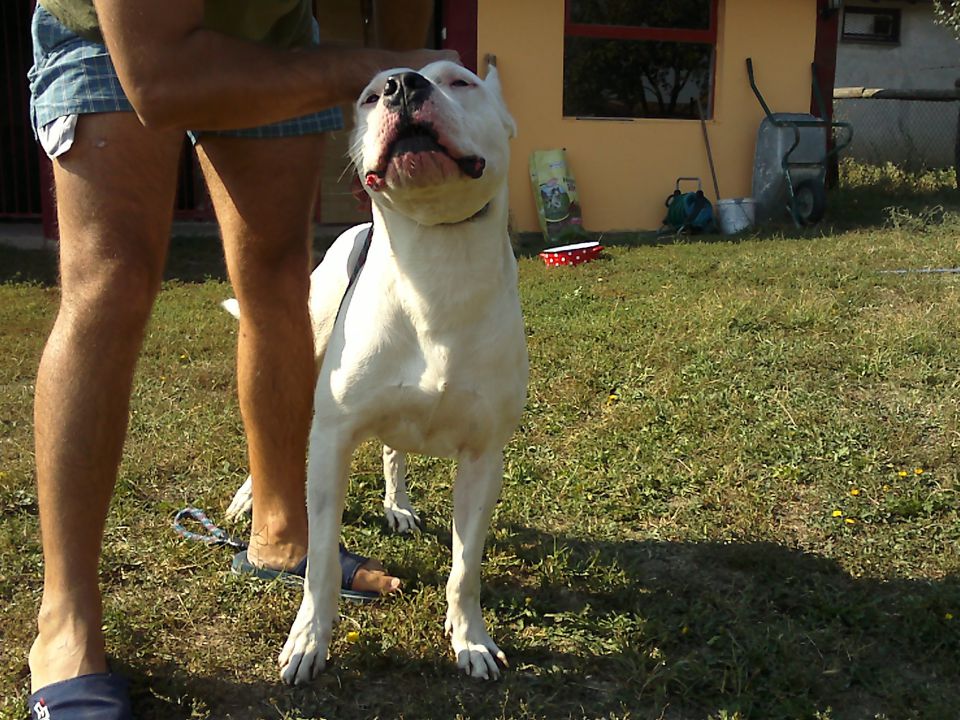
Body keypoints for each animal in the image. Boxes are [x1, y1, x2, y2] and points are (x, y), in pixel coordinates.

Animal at [268, 59, 524, 684]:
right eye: (367, 96)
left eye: (461, 82)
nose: (402, 85)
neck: (436, 263)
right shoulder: (330, 441)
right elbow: (320, 561)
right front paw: (308, 640)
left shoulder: (484, 457)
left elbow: (465, 568)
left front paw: (471, 639)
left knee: (393, 450)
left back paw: (398, 505)